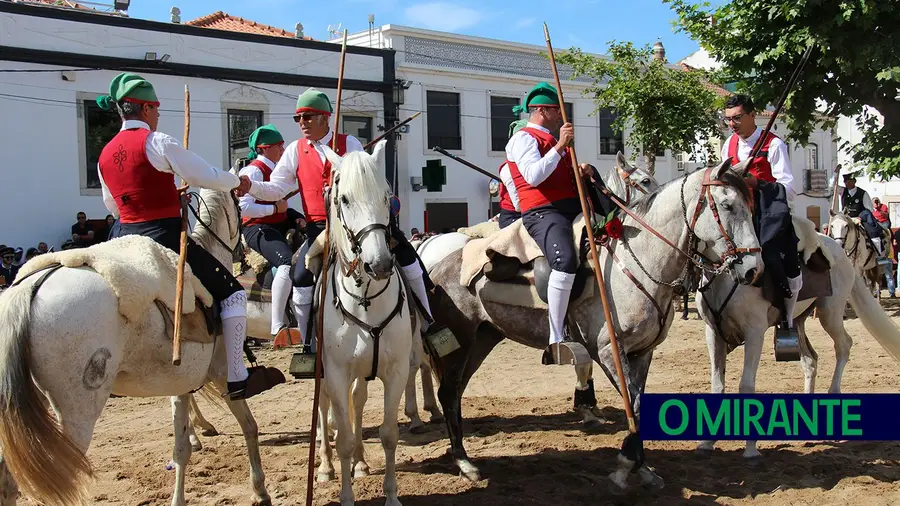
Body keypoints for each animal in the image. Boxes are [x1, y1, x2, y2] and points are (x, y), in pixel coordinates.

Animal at [0, 187, 272, 506]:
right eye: (240, 210)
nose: (246, 257)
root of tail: (29, 288)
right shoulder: (222, 373)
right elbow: (249, 426)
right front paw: (260, 489)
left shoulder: (181, 385)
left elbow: (181, 449)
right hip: (76, 415)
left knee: (7, 480)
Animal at [312, 141, 418, 506]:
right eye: (343, 198)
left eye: (387, 196)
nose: (380, 264)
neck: (365, 298)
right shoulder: (336, 372)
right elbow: (341, 436)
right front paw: (345, 496)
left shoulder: (396, 370)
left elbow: (388, 434)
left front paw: (392, 496)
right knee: (325, 410)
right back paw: (326, 467)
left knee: (357, 403)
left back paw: (359, 461)